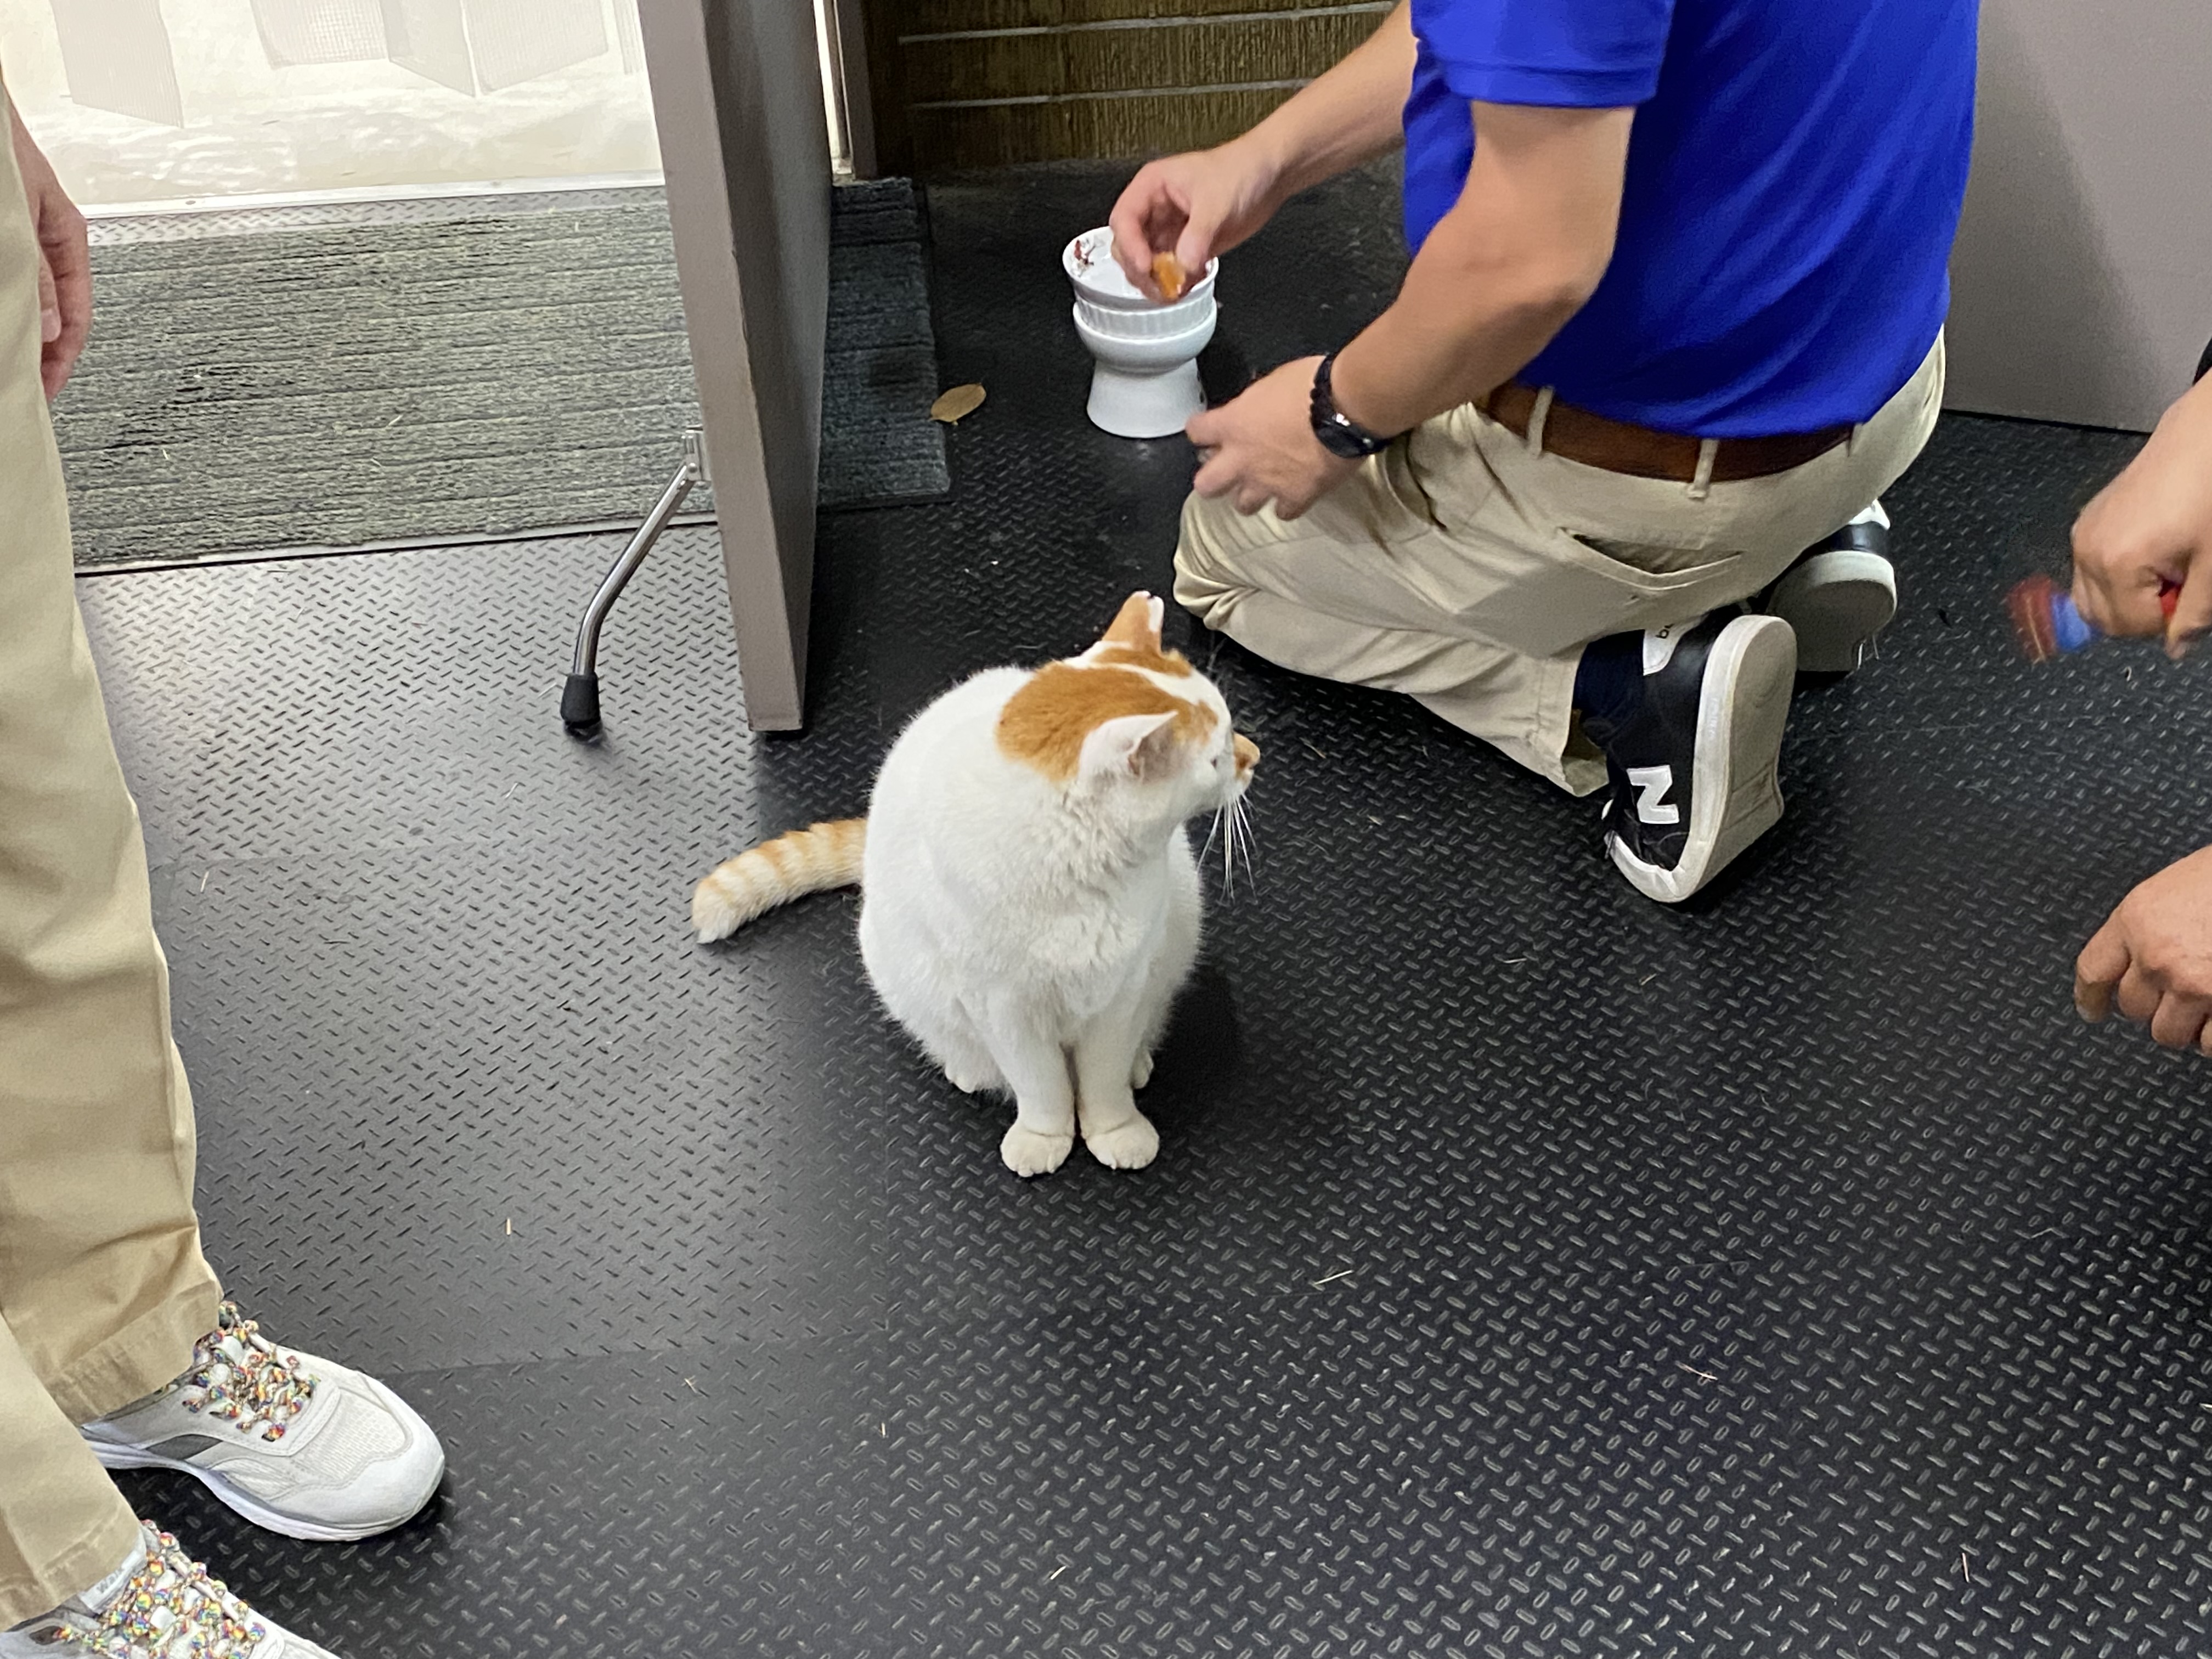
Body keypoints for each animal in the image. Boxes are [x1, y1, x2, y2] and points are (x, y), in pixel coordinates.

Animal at [691, 592, 1259, 1177]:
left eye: (1229, 733)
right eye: (1216, 758)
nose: (1253, 757)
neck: (1076, 875)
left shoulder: (1120, 992)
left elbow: (1102, 1081)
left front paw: (1115, 1128)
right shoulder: (1003, 1009)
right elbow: (1042, 1086)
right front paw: (1044, 1135)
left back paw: (1138, 1062)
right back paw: (968, 1069)